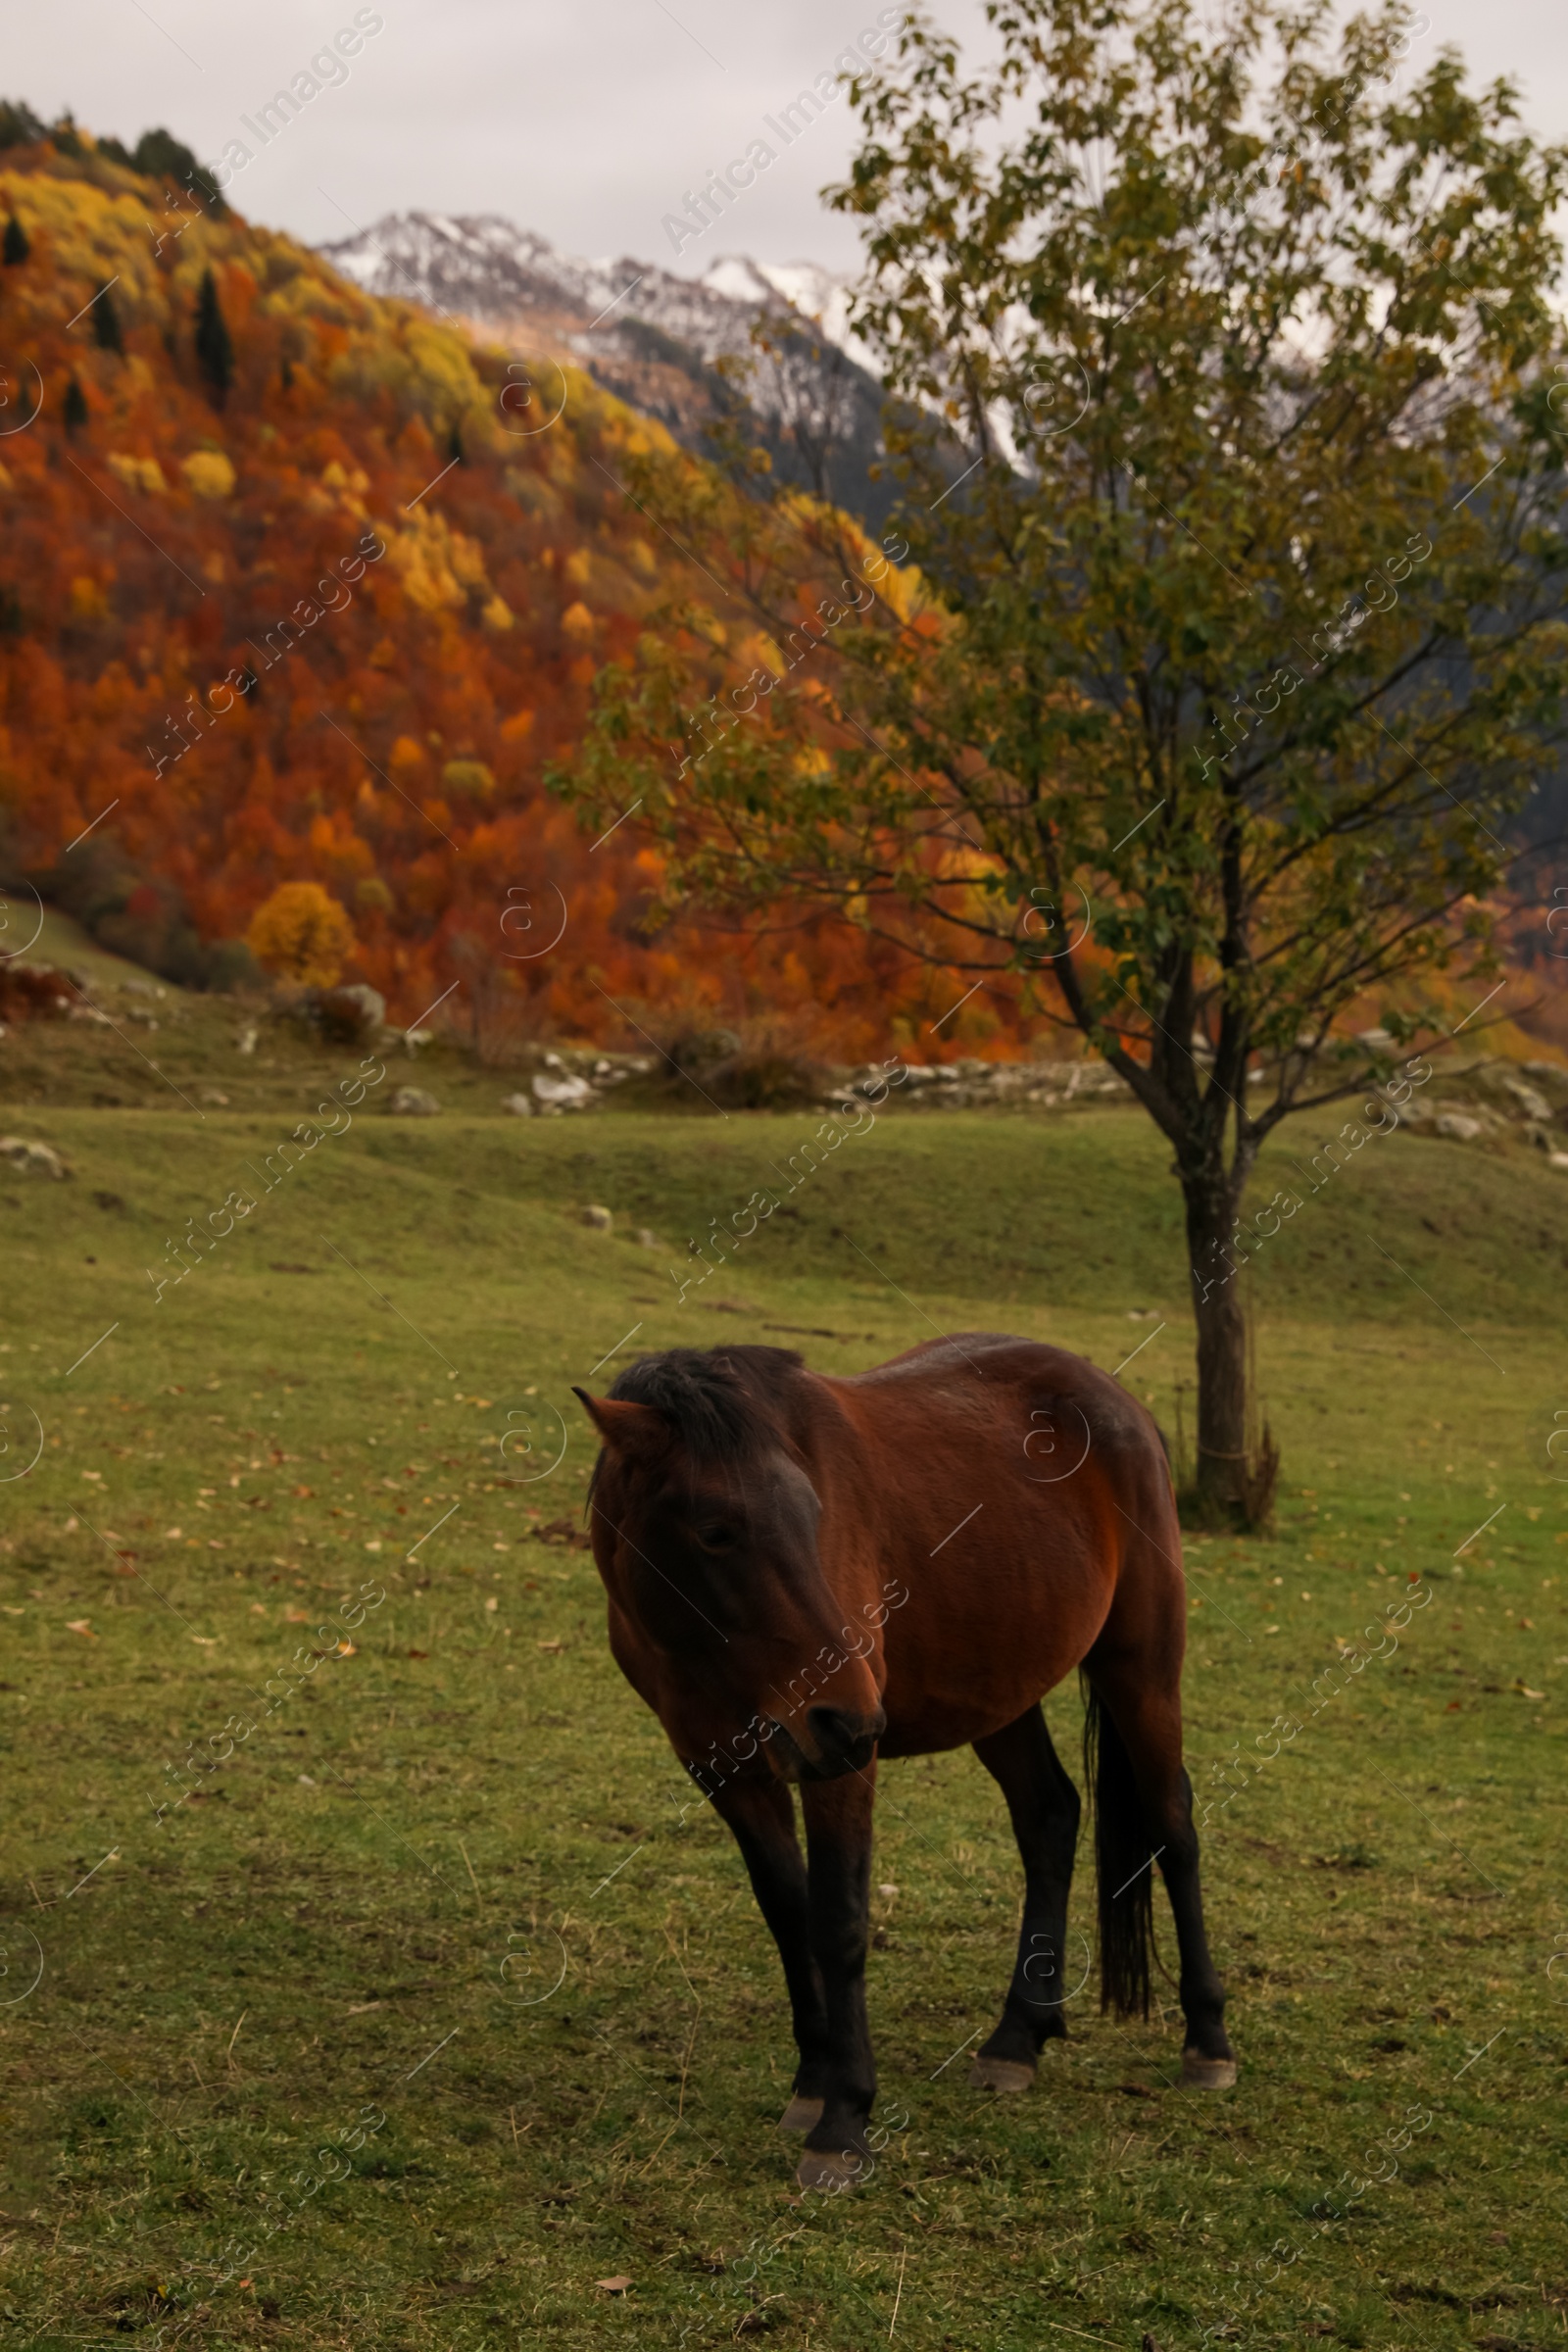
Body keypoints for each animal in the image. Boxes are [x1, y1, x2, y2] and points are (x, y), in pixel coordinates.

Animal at [575, 1345, 1241, 2182]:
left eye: (815, 1517)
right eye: (716, 1530)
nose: (852, 1719)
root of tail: (1122, 1405)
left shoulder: (837, 1764)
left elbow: (840, 1919)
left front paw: (844, 2119)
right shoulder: (723, 1767)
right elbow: (789, 1914)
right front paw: (813, 2079)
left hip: (1140, 1669)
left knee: (1172, 1825)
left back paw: (1207, 2042)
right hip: (1000, 1695)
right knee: (1051, 1818)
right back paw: (1018, 2038)